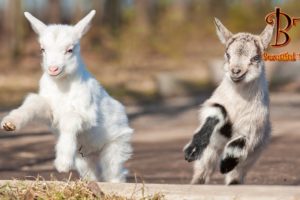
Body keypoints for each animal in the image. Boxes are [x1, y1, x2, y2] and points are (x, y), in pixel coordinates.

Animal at [0, 10, 132, 183]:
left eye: (70, 50)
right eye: (42, 49)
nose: (53, 69)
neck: (61, 85)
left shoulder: (86, 112)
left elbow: (70, 121)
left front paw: (62, 163)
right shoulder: (50, 109)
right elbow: (33, 104)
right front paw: (9, 123)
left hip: (115, 147)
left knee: (115, 174)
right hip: (83, 160)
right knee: (93, 175)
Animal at [183, 18, 274, 184]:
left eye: (255, 58)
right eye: (227, 54)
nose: (235, 71)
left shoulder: (254, 126)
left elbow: (241, 141)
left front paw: (225, 165)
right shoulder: (216, 101)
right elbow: (217, 110)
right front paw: (192, 150)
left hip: (251, 157)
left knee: (236, 177)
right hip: (211, 151)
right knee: (203, 172)